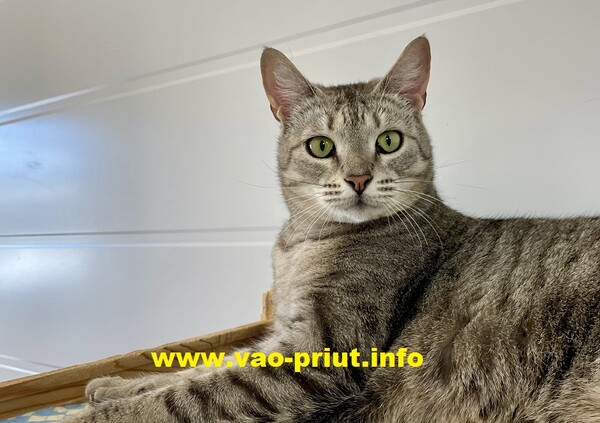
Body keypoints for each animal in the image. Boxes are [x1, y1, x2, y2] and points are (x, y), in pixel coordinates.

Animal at [67, 36, 600, 422]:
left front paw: (98, 411)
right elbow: (202, 367)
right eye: (321, 146)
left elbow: (190, 396)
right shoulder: (283, 335)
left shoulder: (318, 356)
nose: (359, 178)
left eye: (389, 141)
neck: (301, 244)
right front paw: (116, 385)